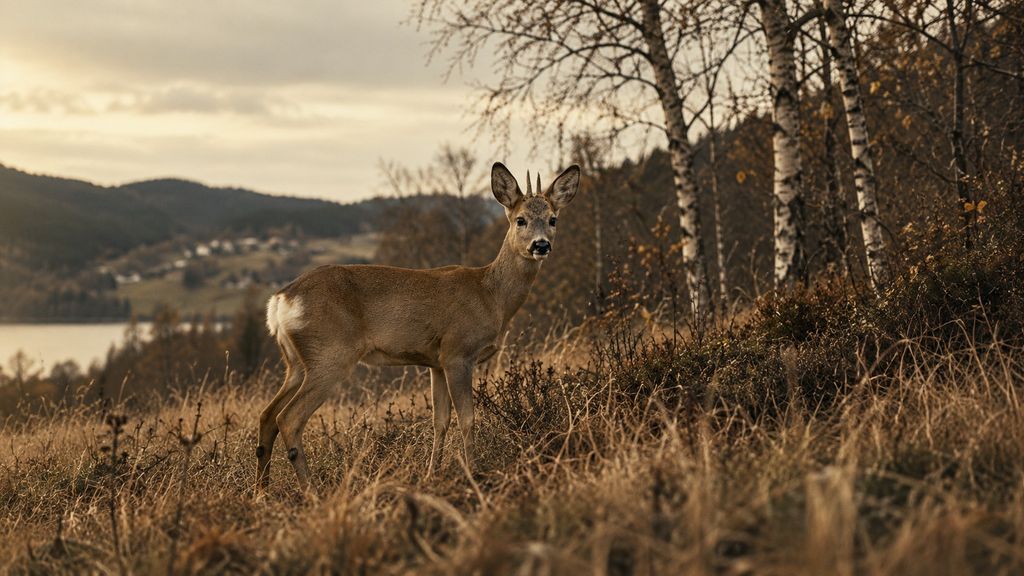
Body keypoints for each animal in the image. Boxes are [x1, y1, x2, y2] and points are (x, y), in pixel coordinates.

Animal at [257, 162, 580, 493]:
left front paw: (431, 473)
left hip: (297, 362)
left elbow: (440, 420)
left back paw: (262, 491)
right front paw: (473, 472)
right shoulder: (457, 351)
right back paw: (311, 491)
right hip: (330, 355)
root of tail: (281, 300)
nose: (541, 245)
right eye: (520, 220)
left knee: (267, 415)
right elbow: (467, 418)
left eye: (553, 219)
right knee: (288, 418)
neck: (491, 297)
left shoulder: (435, 362)